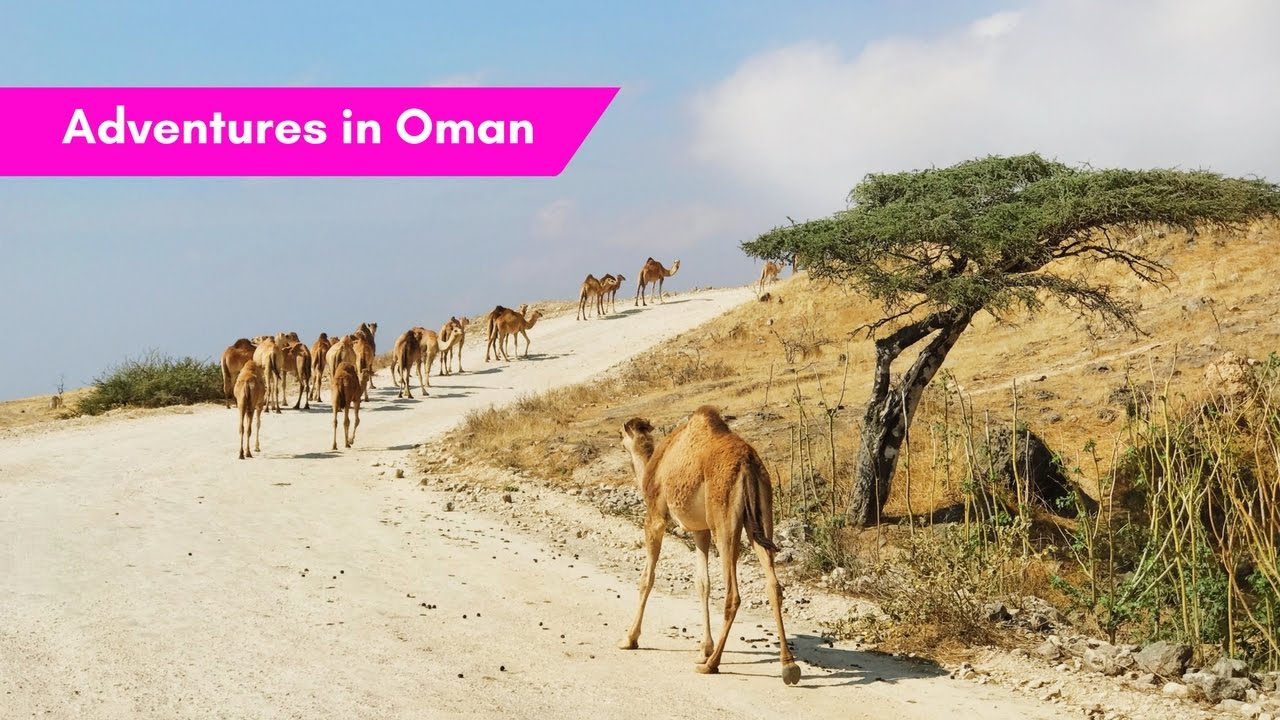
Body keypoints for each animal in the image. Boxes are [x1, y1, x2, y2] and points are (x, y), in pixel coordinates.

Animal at [617, 406, 800, 685]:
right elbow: (702, 583)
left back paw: (712, 665)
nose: (617, 440)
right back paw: (788, 666)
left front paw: (630, 638)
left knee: (733, 593)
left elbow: (647, 577)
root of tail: (748, 464)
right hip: (762, 516)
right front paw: (704, 647)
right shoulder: (700, 531)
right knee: (773, 584)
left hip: (723, 522)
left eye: (621, 435)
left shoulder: (656, 515)